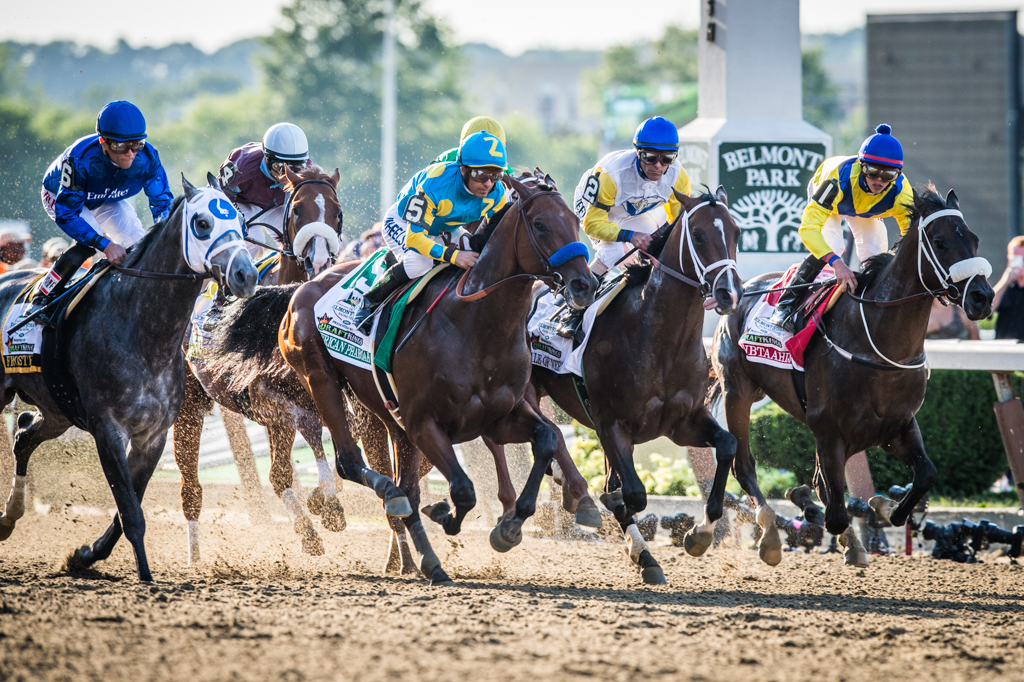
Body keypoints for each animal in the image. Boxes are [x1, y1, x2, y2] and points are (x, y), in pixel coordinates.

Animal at [0, 176, 260, 577]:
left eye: (243, 223)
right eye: (202, 223)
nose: (246, 275)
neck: (143, 331)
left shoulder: (152, 436)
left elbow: (127, 511)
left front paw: (85, 555)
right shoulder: (108, 430)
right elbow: (131, 513)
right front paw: (146, 577)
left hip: (58, 411)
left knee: (24, 436)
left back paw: (9, 518)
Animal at [169, 164, 342, 557]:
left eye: (336, 213)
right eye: (298, 210)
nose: (320, 261)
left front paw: (327, 498)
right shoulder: (266, 399)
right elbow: (309, 429)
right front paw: (324, 503)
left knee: (278, 471)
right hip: (189, 405)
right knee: (192, 487)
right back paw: (194, 557)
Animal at [276, 173, 598, 581]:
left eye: (574, 220)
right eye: (540, 224)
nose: (584, 285)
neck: (476, 326)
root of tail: (304, 286)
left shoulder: (497, 418)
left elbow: (546, 438)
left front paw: (510, 525)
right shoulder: (424, 422)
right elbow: (462, 490)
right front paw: (447, 514)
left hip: (388, 416)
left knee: (407, 487)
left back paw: (426, 558)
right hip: (322, 381)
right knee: (353, 464)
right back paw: (397, 509)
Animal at [481, 187, 745, 585]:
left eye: (736, 232)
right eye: (698, 236)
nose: (729, 293)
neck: (658, 339)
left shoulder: (683, 423)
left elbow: (727, 445)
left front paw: (699, 534)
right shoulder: (611, 424)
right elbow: (631, 494)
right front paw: (635, 538)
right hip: (519, 392)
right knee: (531, 436)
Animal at [712, 188, 991, 565]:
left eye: (974, 239)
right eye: (940, 242)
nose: (983, 297)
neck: (877, 342)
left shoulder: (896, 426)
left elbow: (925, 473)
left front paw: (887, 508)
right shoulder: (830, 431)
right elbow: (835, 512)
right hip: (737, 391)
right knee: (744, 465)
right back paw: (769, 533)